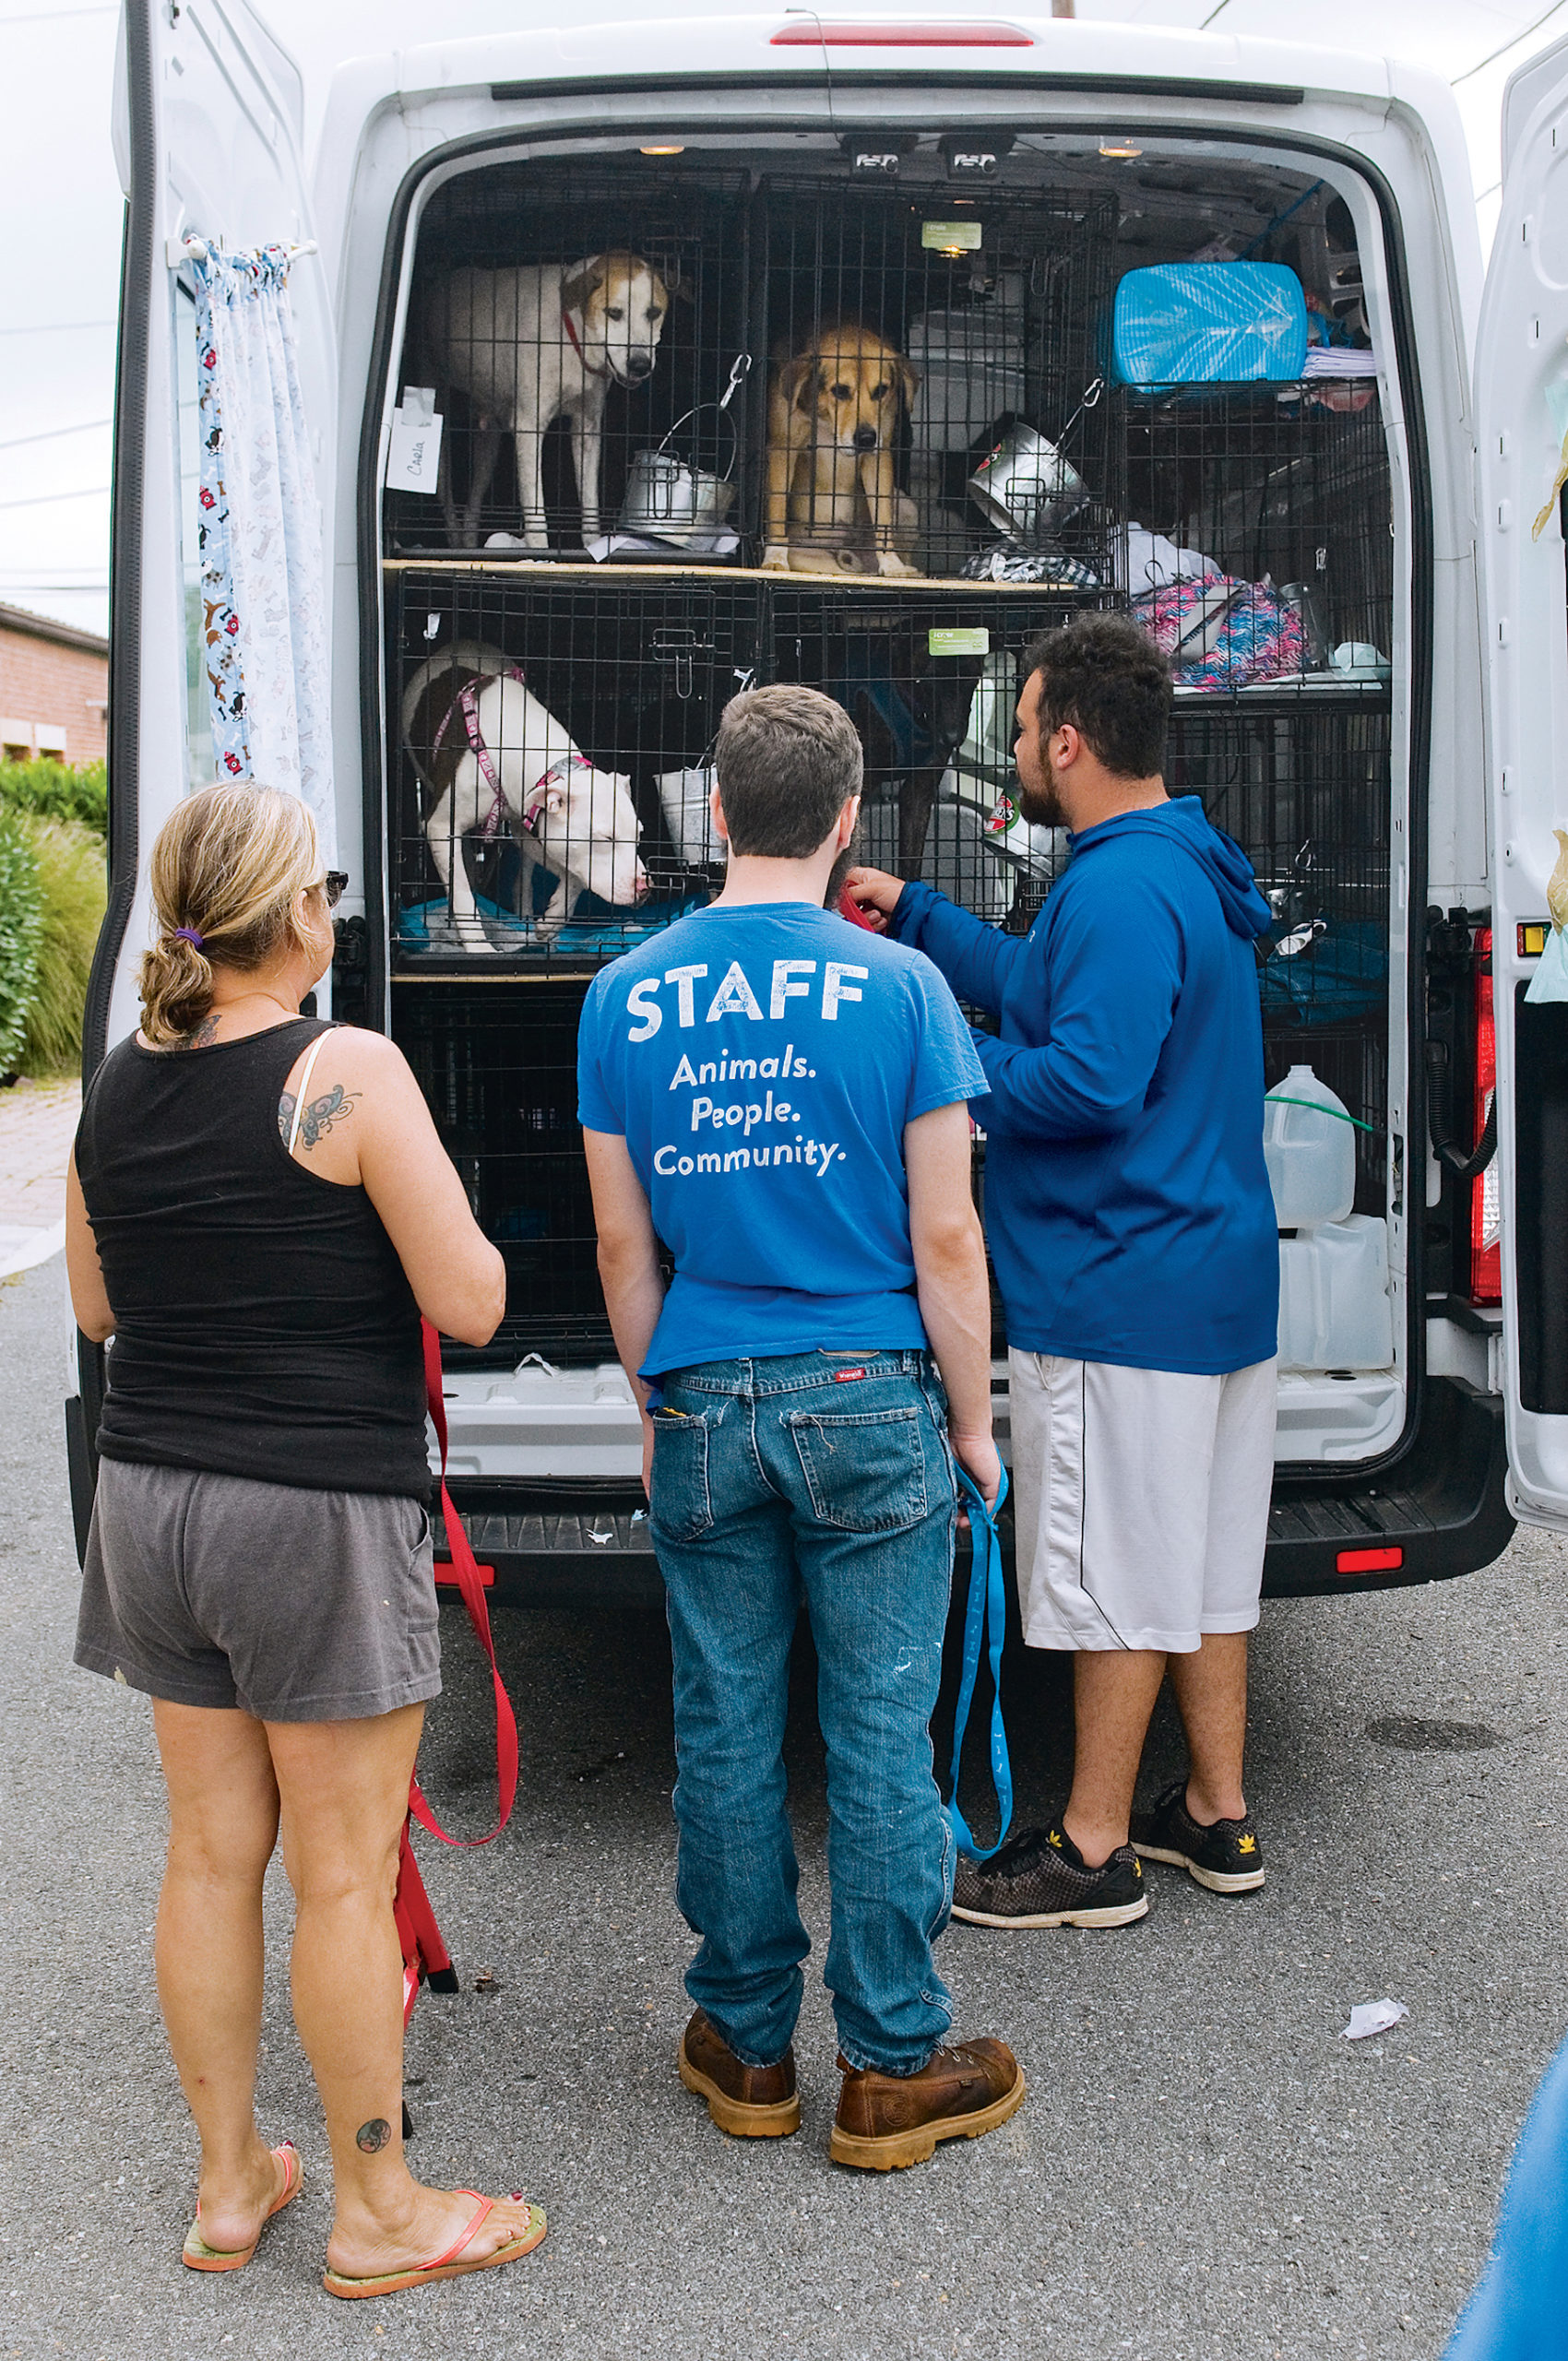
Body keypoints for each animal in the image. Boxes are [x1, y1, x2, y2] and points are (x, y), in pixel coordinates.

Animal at [406, 642, 651, 954]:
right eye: (606, 839)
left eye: (639, 836)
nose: (644, 888)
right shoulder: (439, 826)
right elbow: (460, 892)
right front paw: (479, 948)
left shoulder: (530, 821)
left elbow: (572, 871)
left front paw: (553, 919)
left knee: (523, 875)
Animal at [424, 255, 671, 550]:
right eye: (614, 313)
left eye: (653, 313)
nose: (640, 365)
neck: (571, 334)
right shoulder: (529, 428)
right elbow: (536, 514)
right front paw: (540, 551)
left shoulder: (586, 429)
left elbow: (590, 508)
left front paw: (593, 546)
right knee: (445, 491)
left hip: (489, 438)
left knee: (473, 502)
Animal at [760, 321, 921, 574]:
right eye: (840, 390)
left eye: (881, 390)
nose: (866, 438)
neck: (827, 419)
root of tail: (846, 550)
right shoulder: (782, 446)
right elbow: (777, 508)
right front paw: (775, 557)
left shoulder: (878, 456)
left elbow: (883, 516)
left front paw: (892, 565)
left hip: (907, 507)